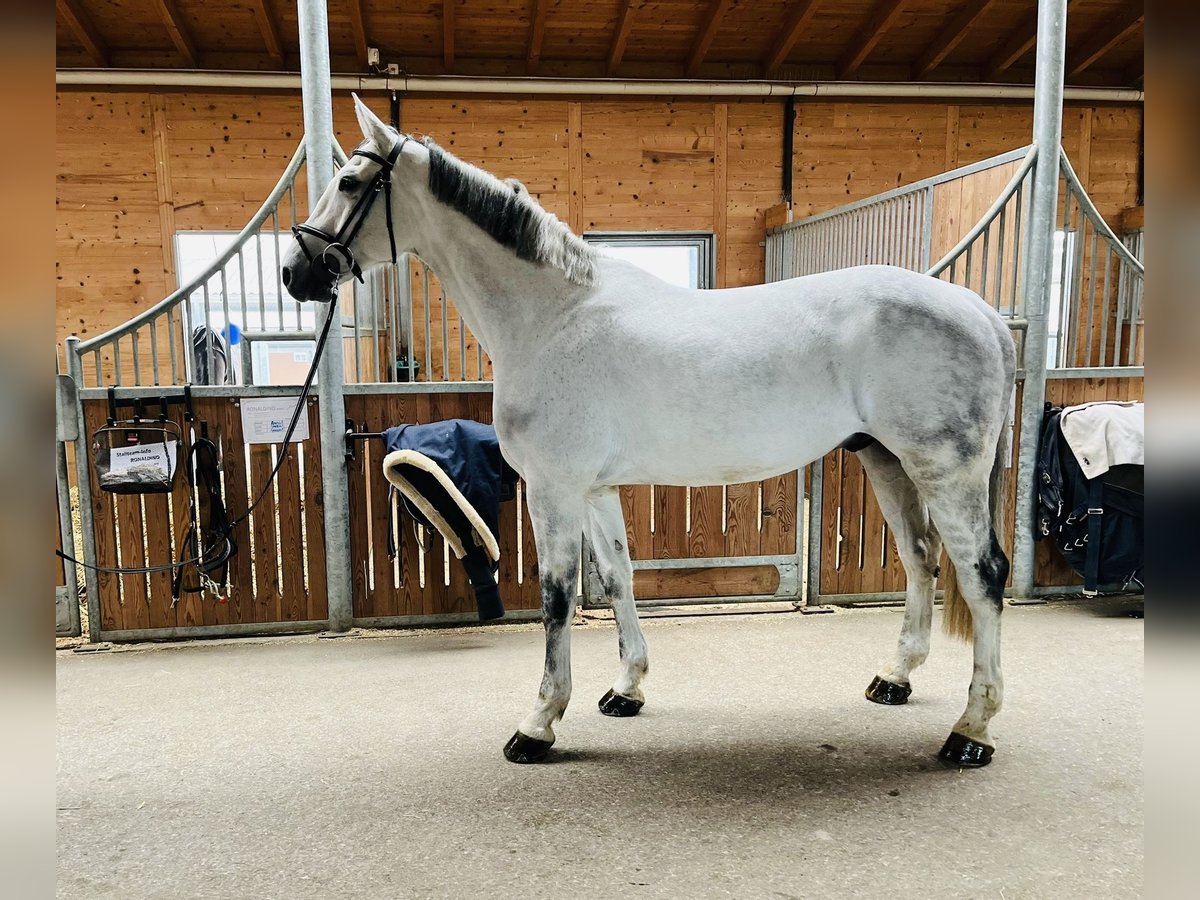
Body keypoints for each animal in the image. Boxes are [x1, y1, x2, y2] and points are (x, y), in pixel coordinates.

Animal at [285, 100, 1017, 777]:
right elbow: (618, 577)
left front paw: (539, 723)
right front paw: (626, 689)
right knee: (920, 559)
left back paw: (971, 731)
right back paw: (895, 679)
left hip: (946, 473)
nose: (297, 271)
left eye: (349, 182)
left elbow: (557, 597)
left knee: (983, 576)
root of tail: (978, 310)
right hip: (888, 461)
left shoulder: (553, 490)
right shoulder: (595, 490)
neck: (553, 317)